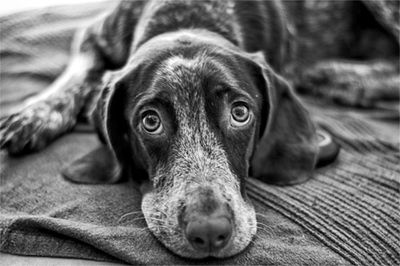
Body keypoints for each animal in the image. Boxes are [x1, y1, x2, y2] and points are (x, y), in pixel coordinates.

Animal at [0, 0, 396, 260]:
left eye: (240, 113)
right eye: (150, 121)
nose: (209, 232)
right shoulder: (94, 34)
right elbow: (74, 76)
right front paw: (34, 114)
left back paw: (341, 77)